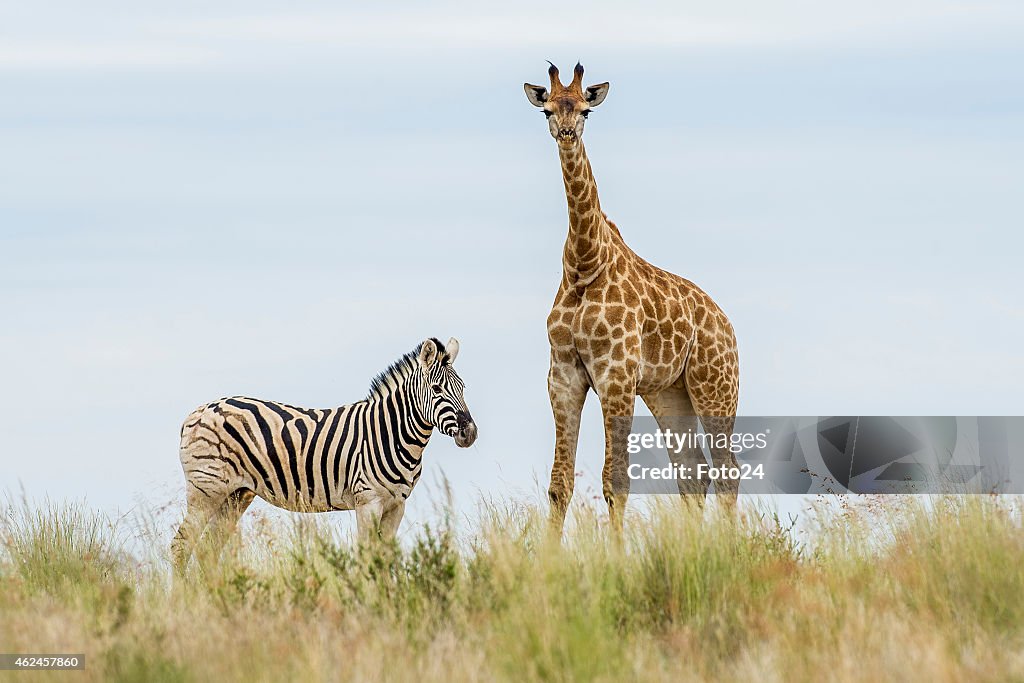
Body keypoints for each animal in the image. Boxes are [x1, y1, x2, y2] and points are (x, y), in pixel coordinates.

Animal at [174, 335, 477, 573]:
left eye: (463, 388)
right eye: (437, 389)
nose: (470, 433)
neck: (392, 432)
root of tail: (195, 412)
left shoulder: (397, 505)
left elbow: (385, 557)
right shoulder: (368, 501)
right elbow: (367, 556)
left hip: (236, 495)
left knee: (208, 549)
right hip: (206, 490)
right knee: (181, 545)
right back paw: (183, 599)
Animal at [528, 62, 737, 532]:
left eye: (585, 110)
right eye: (547, 109)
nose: (566, 132)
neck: (585, 263)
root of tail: (726, 324)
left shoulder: (616, 375)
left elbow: (617, 482)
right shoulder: (562, 376)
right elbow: (559, 485)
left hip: (716, 387)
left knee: (727, 472)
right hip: (670, 393)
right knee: (693, 473)